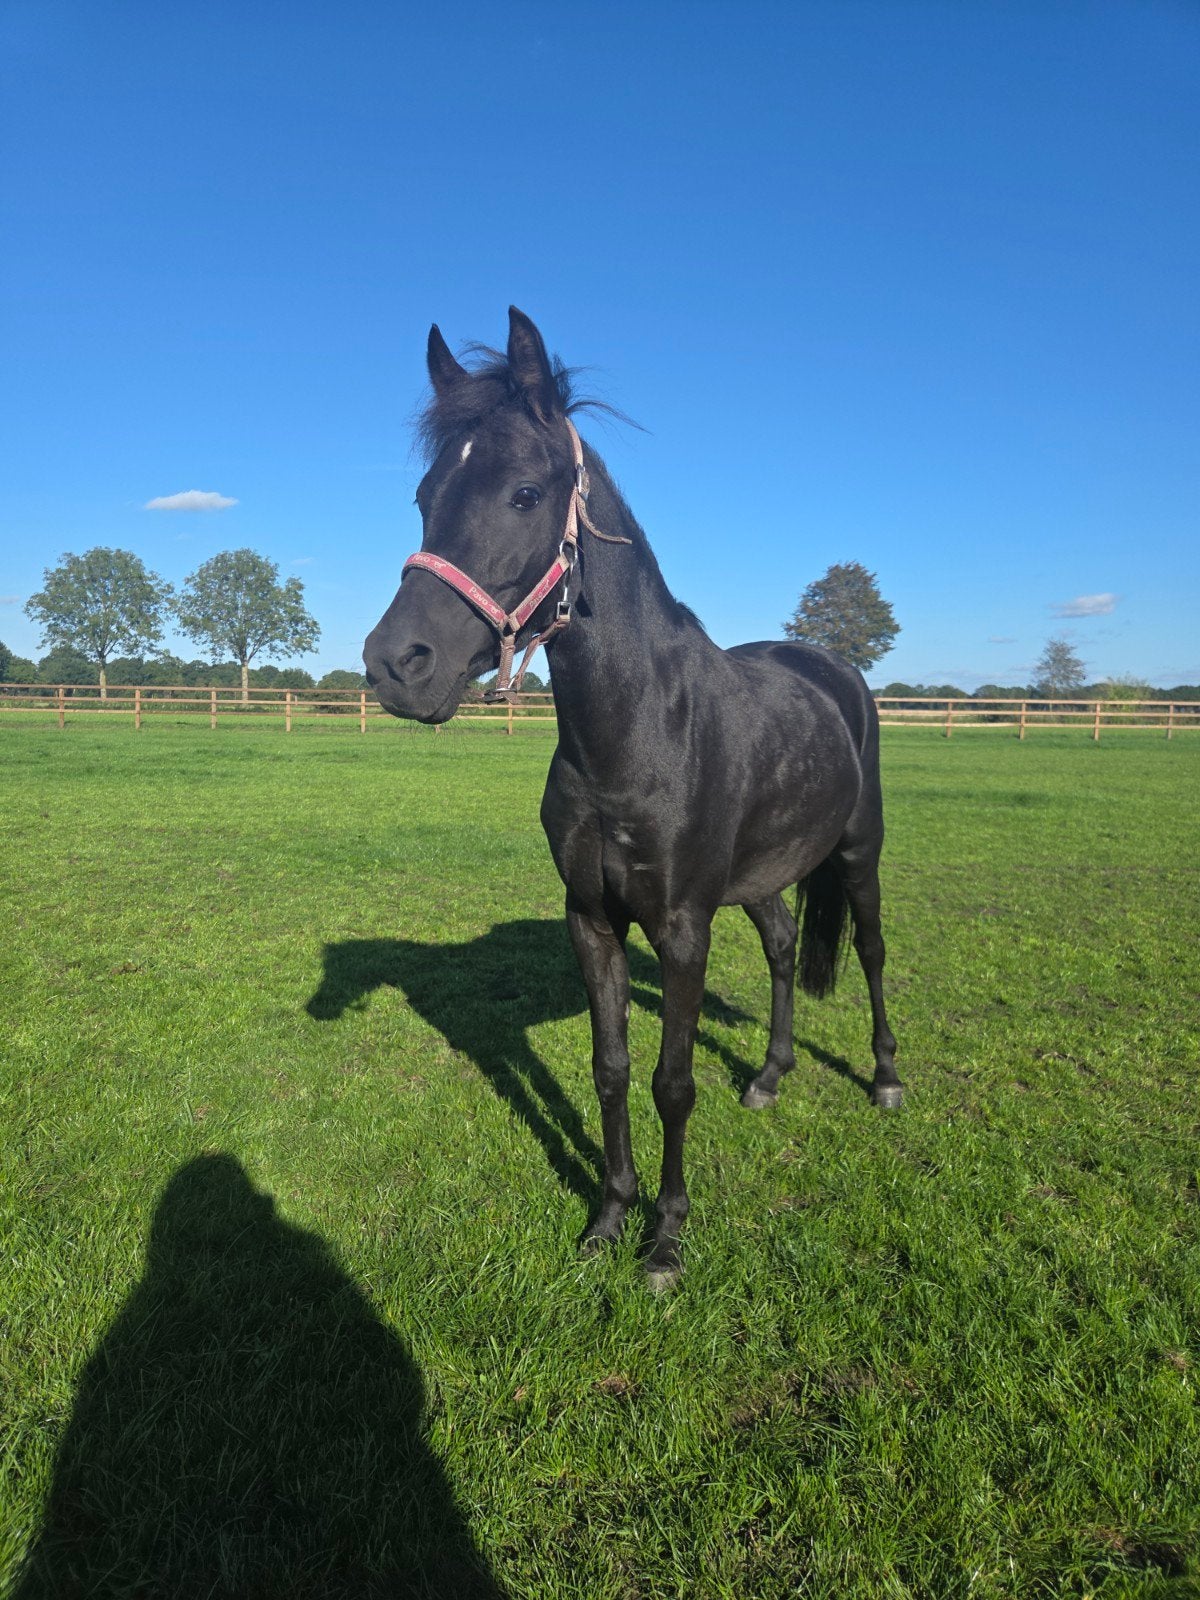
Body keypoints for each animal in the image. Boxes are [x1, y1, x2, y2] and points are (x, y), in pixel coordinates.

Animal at [364, 308, 902, 1289]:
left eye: (526, 492)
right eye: (424, 495)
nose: (395, 664)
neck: (638, 731)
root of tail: (833, 670)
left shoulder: (682, 927)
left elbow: (671, 1083)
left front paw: (666, 1240)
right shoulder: (594, 918)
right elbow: (610, 1067)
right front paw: (609, 1217)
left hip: (859, 853)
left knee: (874, 952)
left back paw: (884, 1078)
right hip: (761, 877)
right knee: (782, 946)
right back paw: (769, 1076)